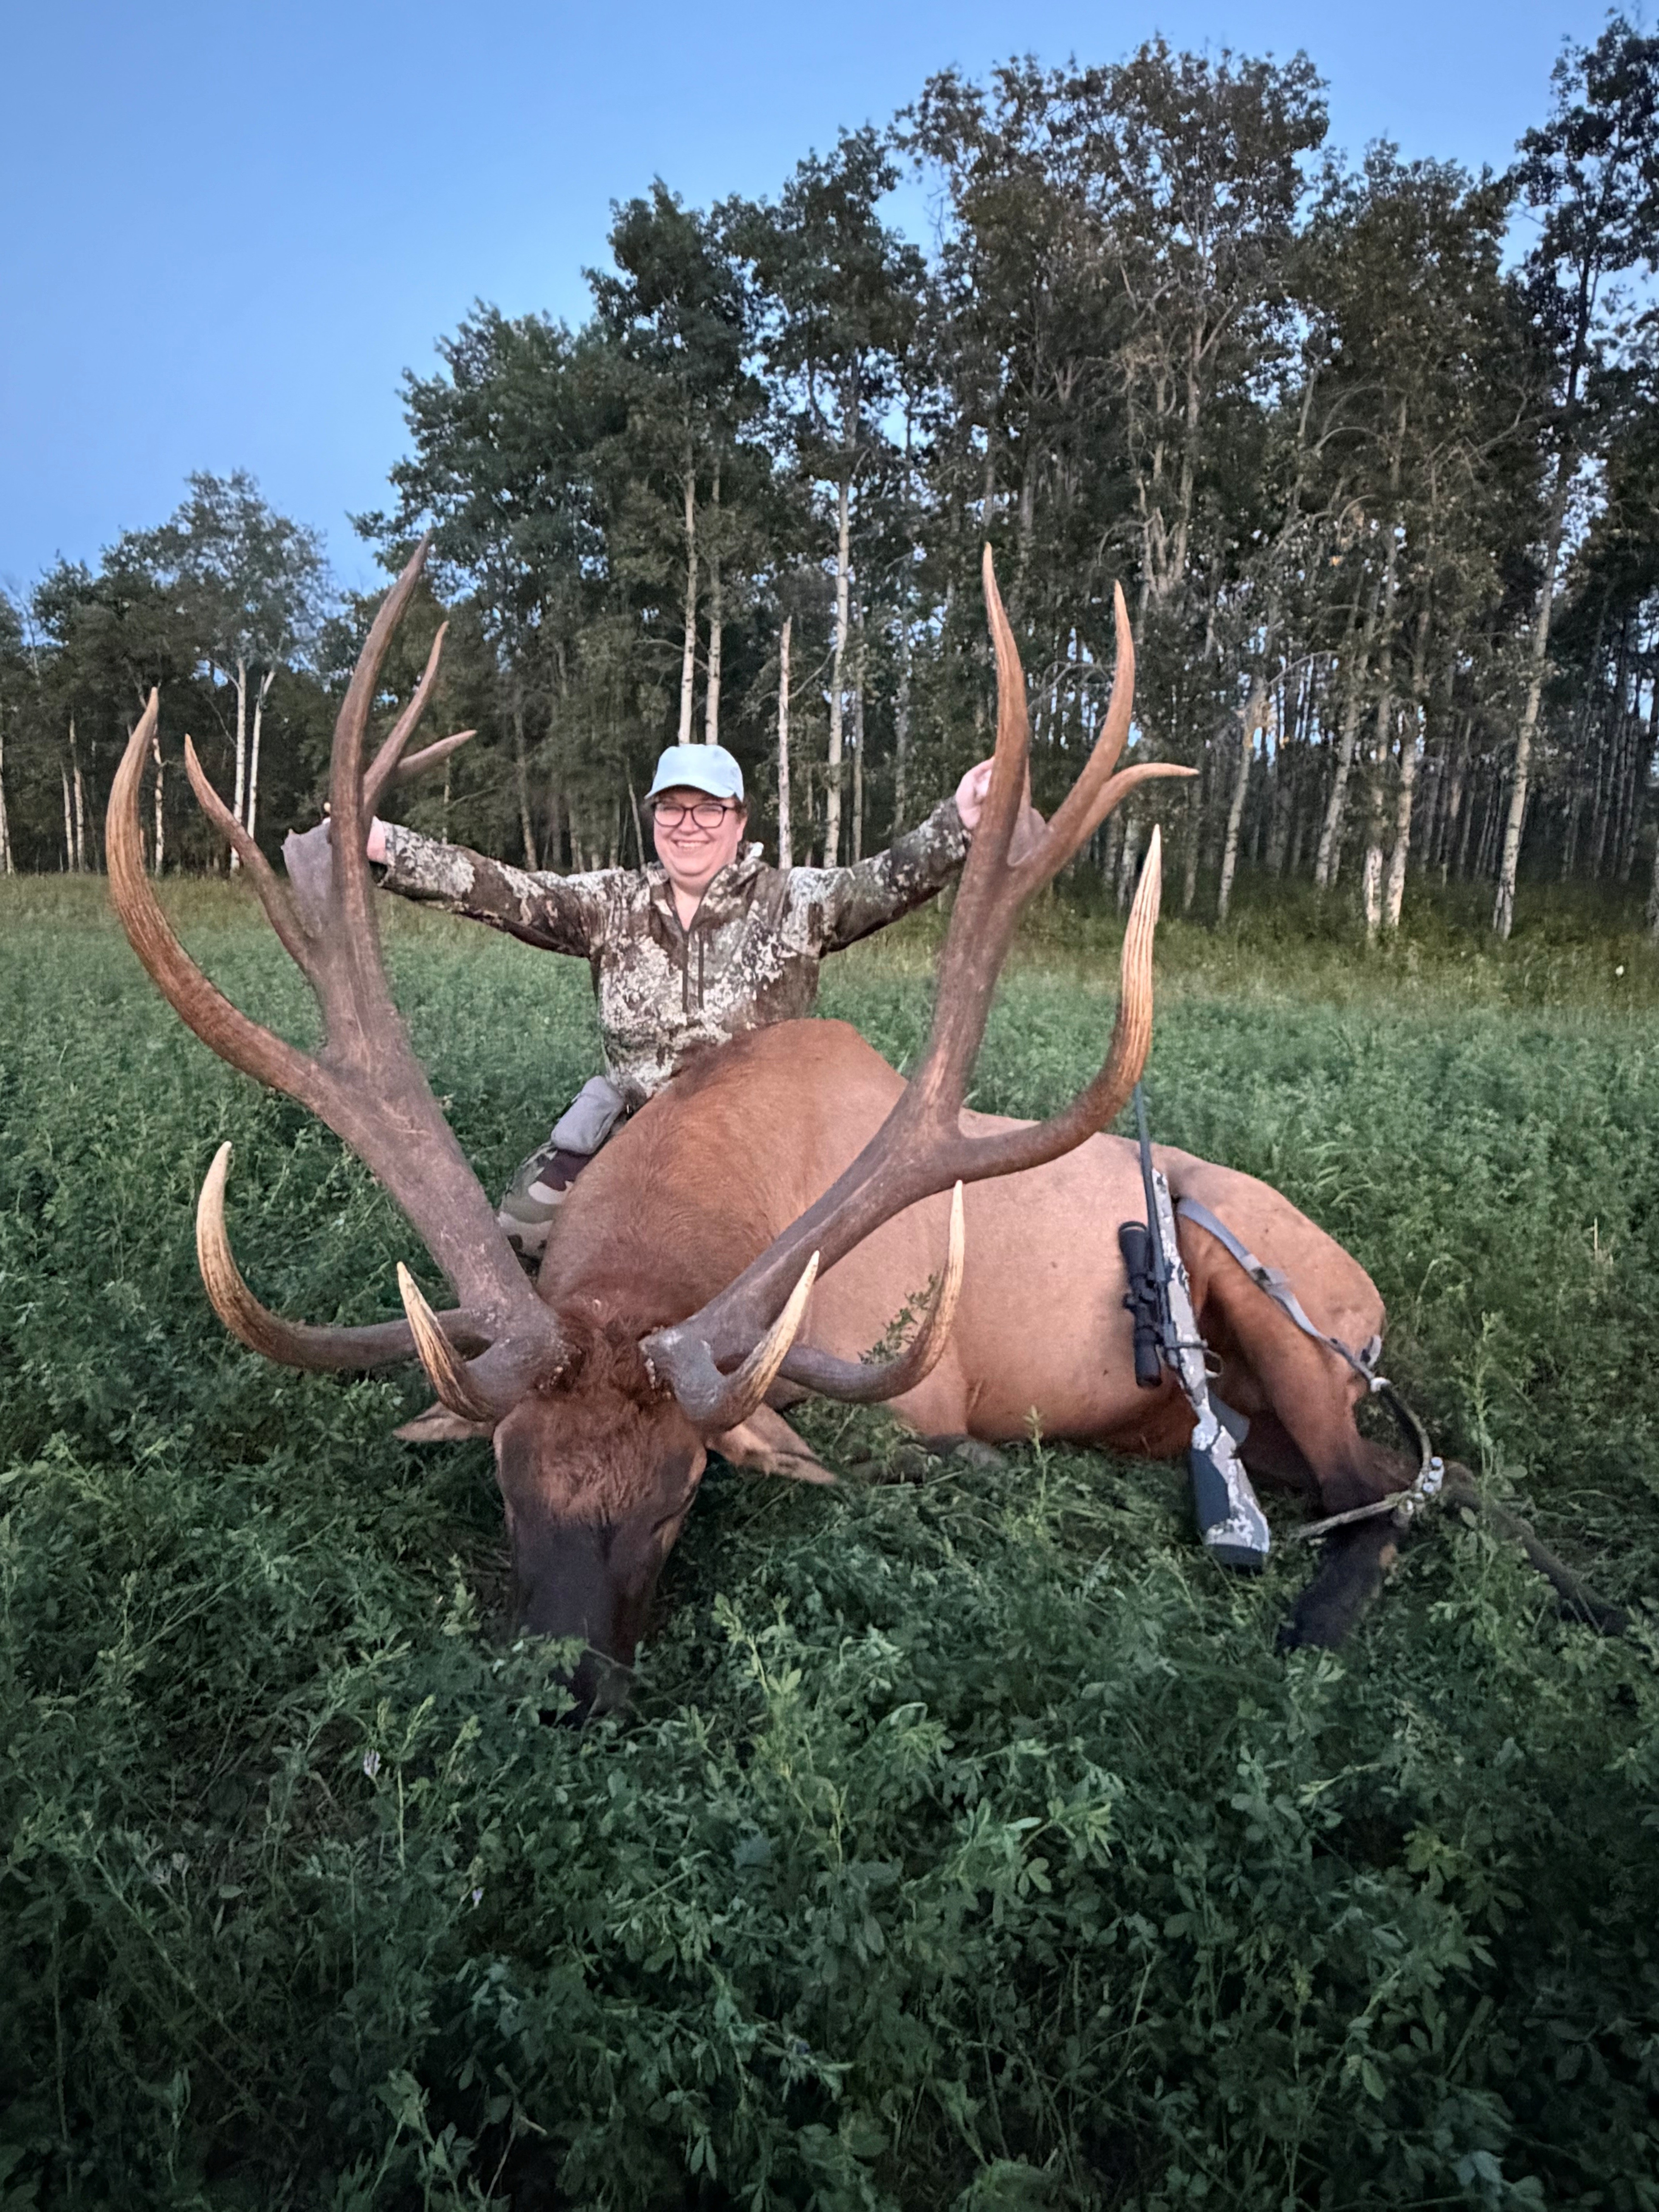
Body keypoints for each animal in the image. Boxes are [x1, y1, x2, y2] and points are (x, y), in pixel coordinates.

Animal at [107, 544, 1616, 1716]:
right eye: (504, 1475)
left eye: (682, 1494)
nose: (560, 1689)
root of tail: (1366, 1292)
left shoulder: (914, 1393)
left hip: (1270, 1288)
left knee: (1385, 1490)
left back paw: (1308, 1637)